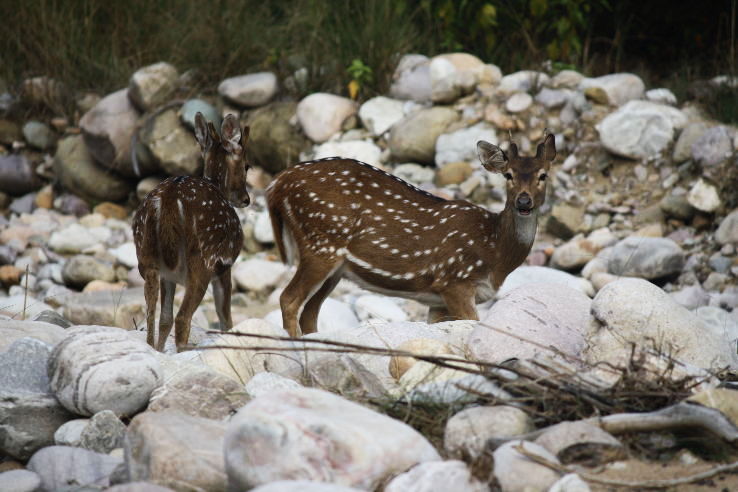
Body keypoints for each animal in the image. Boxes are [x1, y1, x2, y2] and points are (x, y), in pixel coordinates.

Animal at [131, 113, 249, 352]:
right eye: (247, 165)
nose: (246, 199)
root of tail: (169, 199)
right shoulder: (225, 265)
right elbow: (225, 317)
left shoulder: (169, 276)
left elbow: (164, 319)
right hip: (203, 259)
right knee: (182, 318)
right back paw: (187, 348)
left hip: (147, 258)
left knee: (154, 315)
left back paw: (154, 348)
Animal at [264, 133, 552, 336]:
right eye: (508, 175)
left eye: (543, 175)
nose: (523, 202)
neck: (495, 253)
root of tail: (276, 184)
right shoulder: (454, 280)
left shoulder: (438, 300)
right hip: (321, 242)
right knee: (288, 299)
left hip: (335, 266)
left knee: (309, 313)